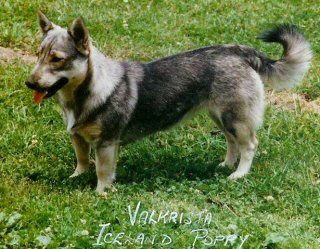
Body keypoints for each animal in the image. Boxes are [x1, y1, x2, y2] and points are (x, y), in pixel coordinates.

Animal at [26, 11, 312, 194]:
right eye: (38, 54)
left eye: (57, 59)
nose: (29, 83)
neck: (88, 93)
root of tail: (238, 51)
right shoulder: (78, 138)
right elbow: (82, 161)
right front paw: (76, 177)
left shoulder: (106, 144)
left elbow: (103, 173)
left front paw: (100, 193)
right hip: (221, 117)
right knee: (232, 143)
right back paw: (225, 165)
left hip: (236, 118)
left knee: (250, 145)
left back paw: (238, 174)